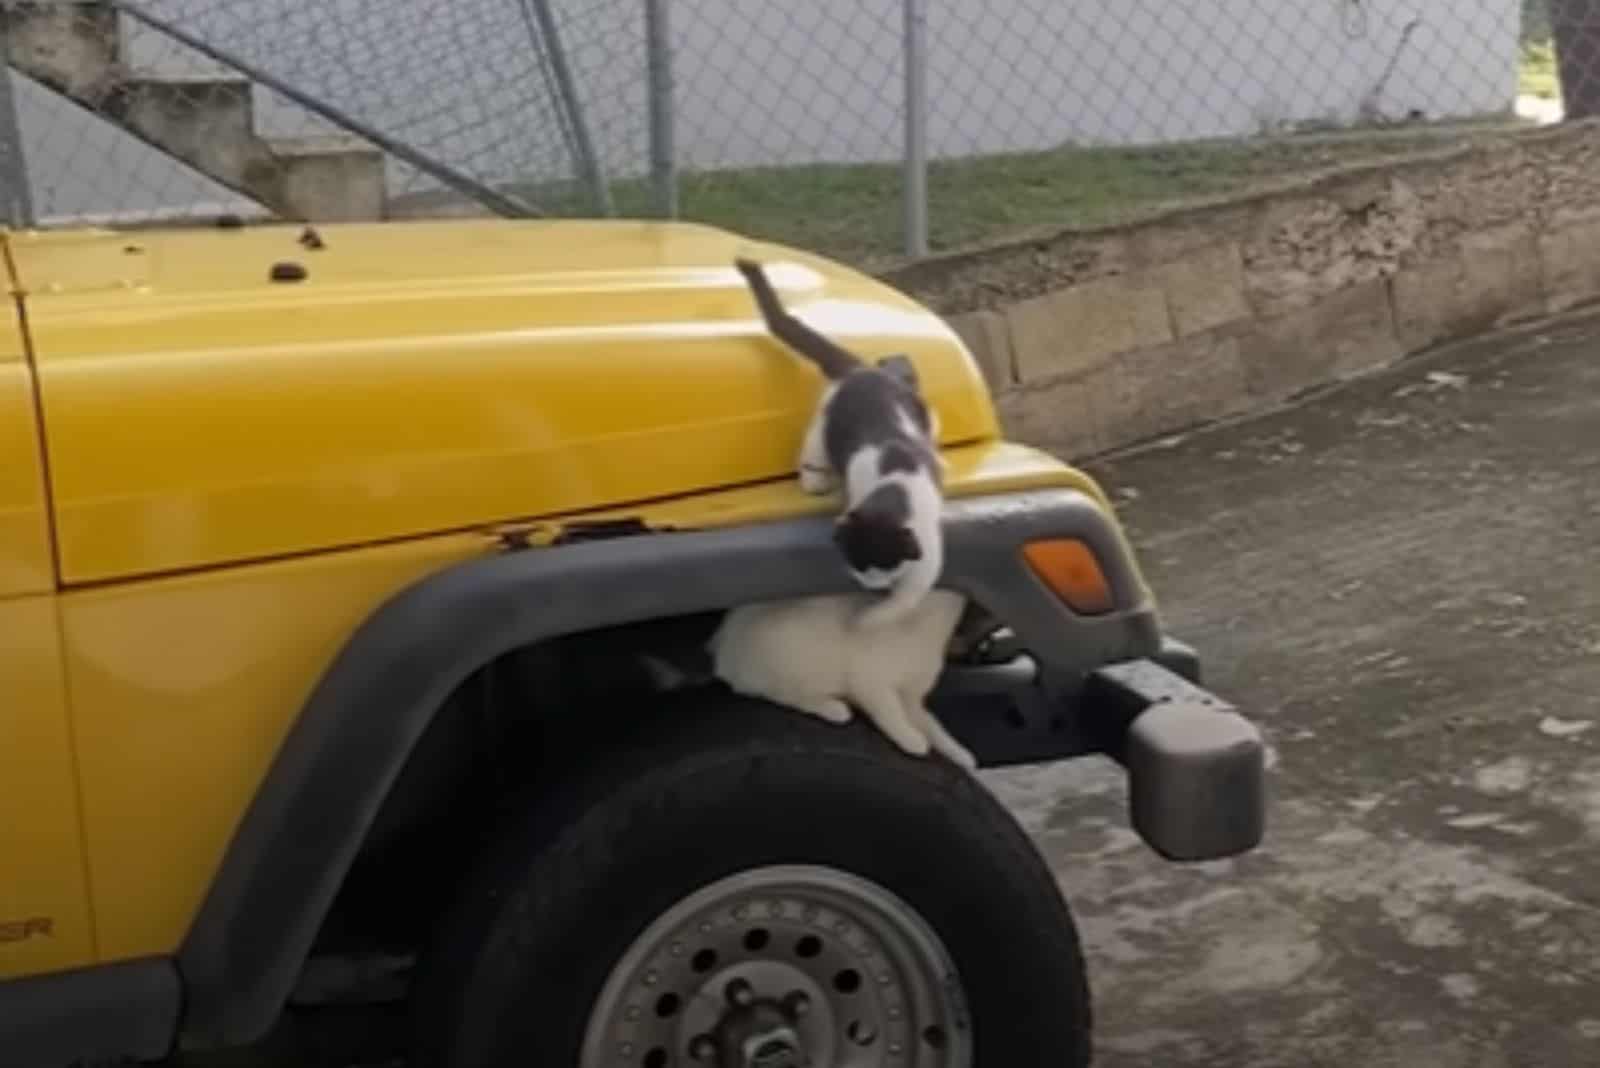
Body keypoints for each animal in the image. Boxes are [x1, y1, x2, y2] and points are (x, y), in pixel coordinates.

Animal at [710, 591, 972, 767]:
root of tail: (723, 645)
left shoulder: (912, 699)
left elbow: (933, 725)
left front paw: (960, 754)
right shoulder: (869, 679)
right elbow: (891, 711)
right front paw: (909, 737)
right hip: (793, 658)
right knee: (782, 694)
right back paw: (833, 707)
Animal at [732, 257, 940, 626]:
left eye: (886, 567)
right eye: (858, 567)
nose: (874, 589)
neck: (893, 481)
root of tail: (860, 370)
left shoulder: (927, 548)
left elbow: (910, 594)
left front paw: (872, 618)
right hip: (825, 419)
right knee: (813, 447)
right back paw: (814, 478)